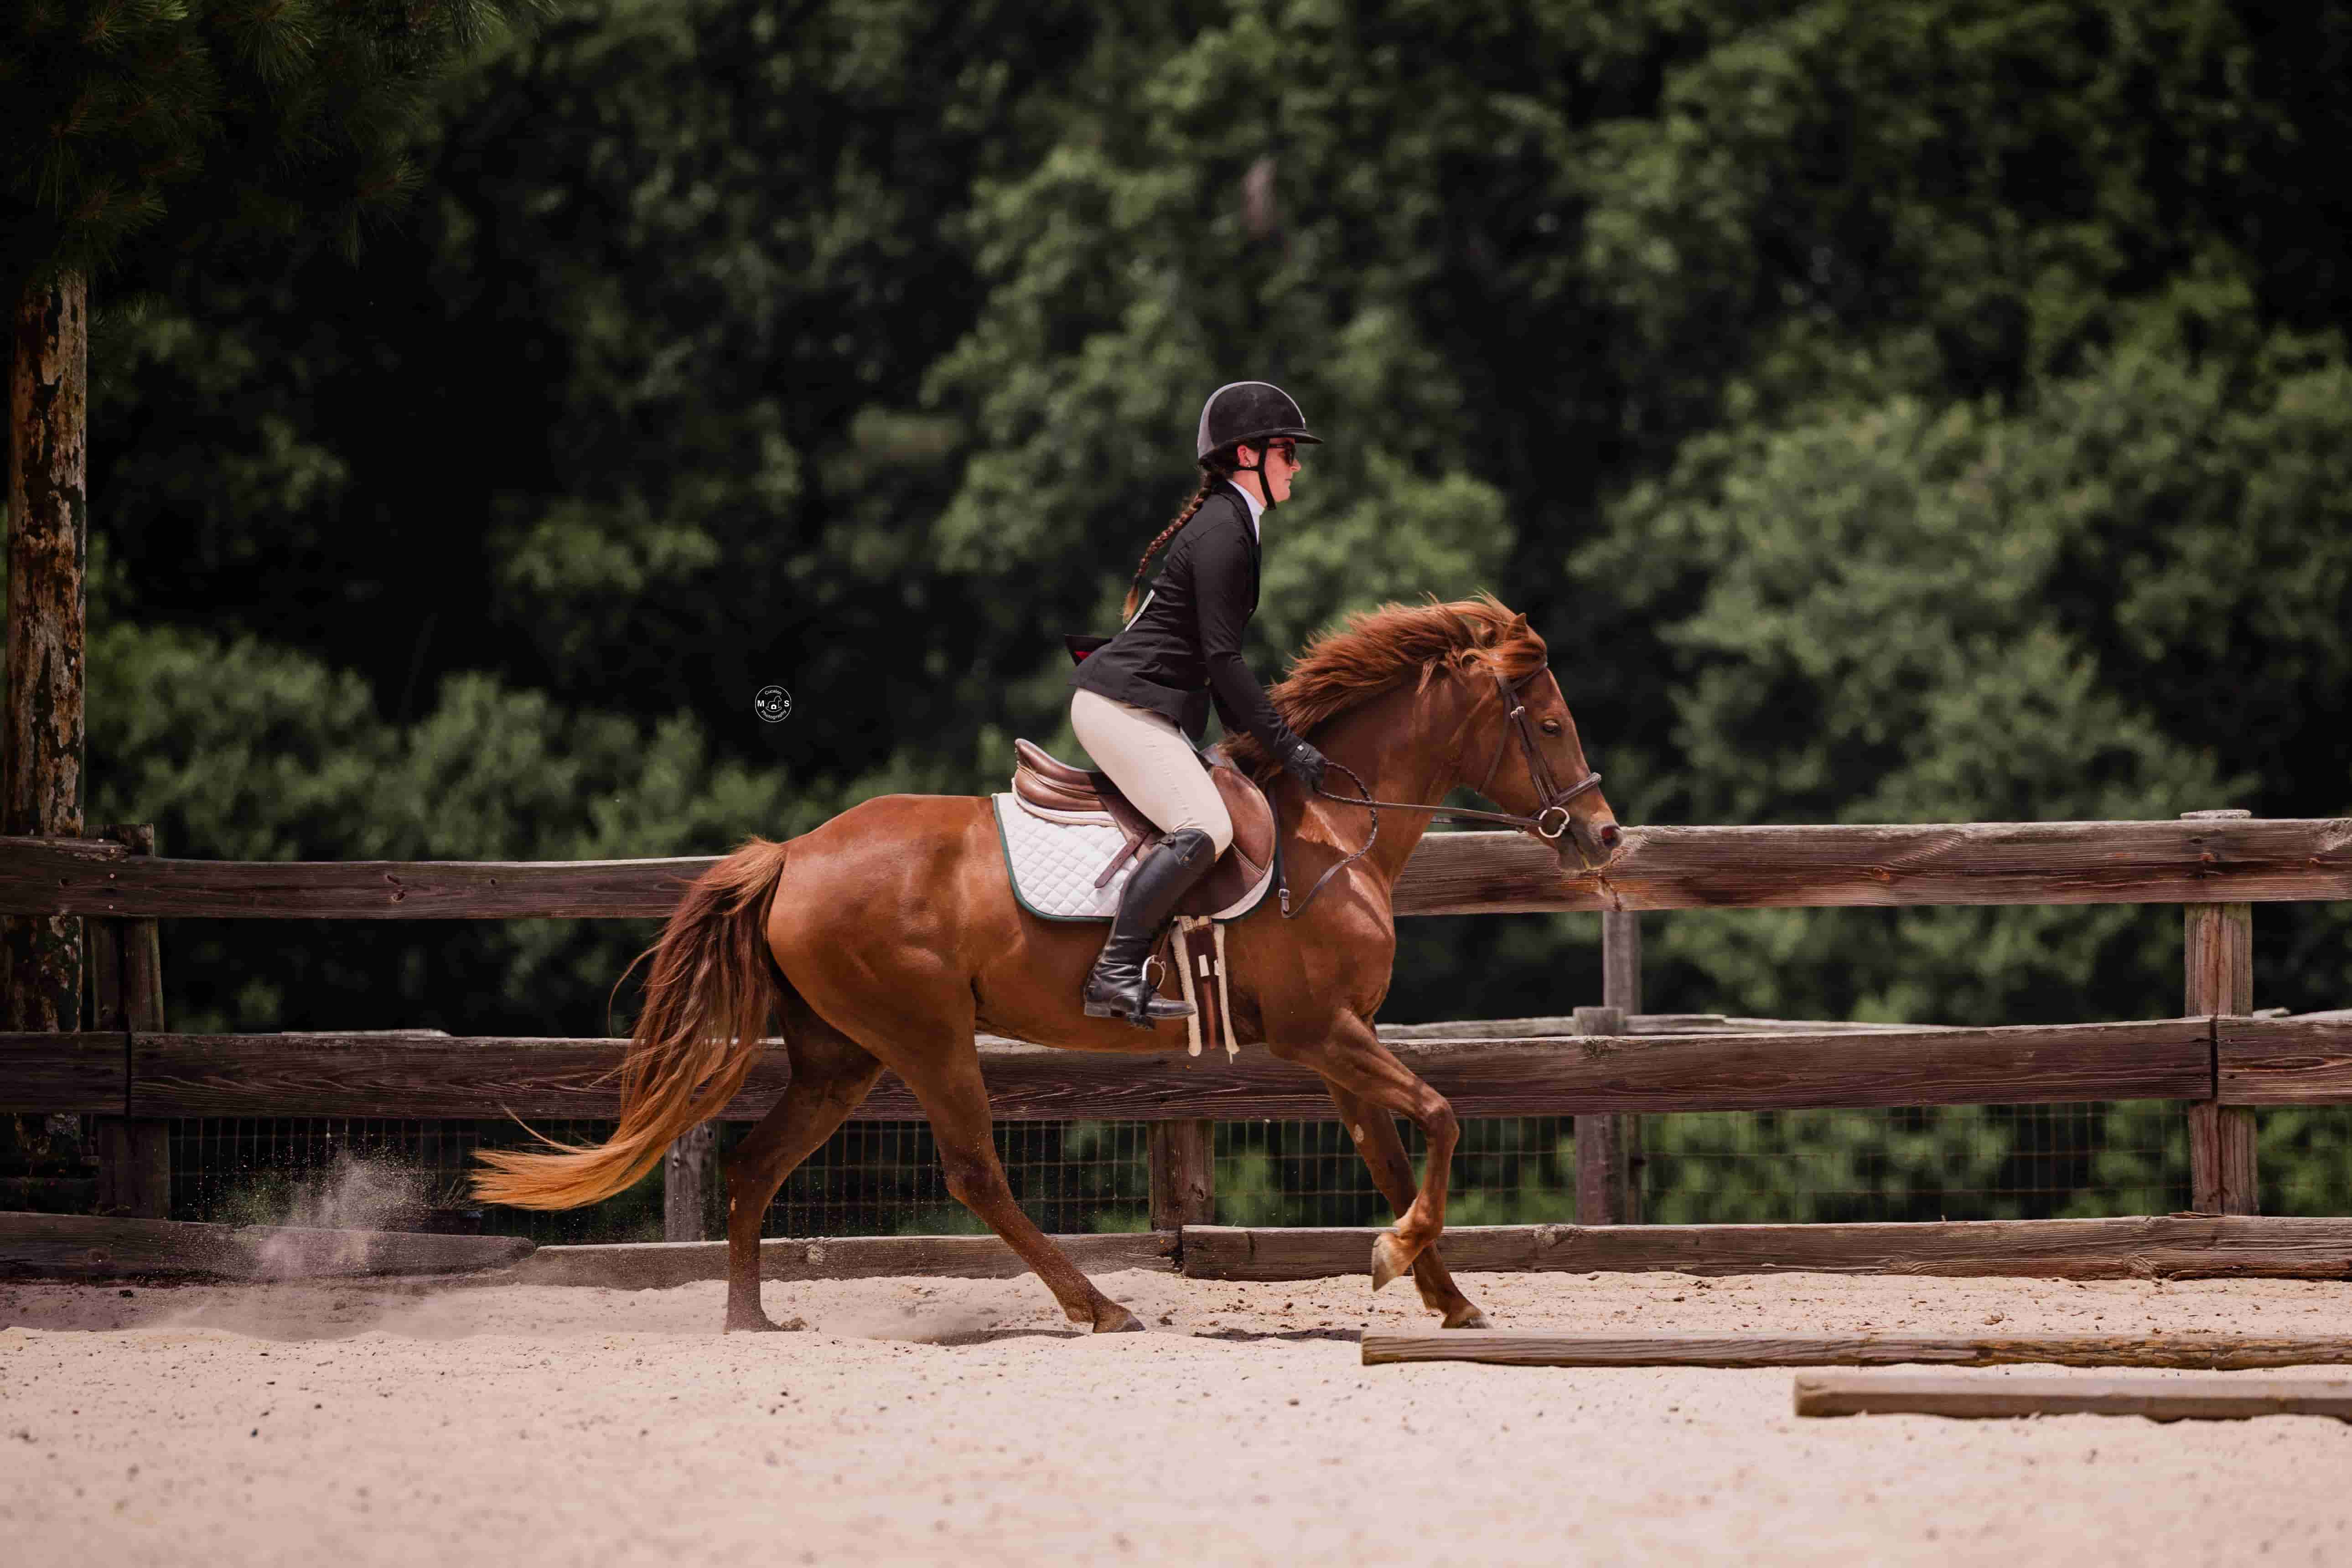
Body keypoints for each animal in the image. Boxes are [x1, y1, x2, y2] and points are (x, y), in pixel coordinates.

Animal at [471, 592, 1623, 1333]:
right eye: (1549, 724)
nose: (1603, 835)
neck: (1331, 826)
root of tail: (792, 853)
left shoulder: (1341, 1043)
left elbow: (1390, 1148)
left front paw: (1443, 1295)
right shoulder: (1319, 1033)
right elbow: (1440, 1116)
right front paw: (1401, 1260)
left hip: (841, 1055)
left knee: (758, 1163)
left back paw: (749, 1321)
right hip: (926, 1036)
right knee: (973, 1171)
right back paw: (1094, 1305)